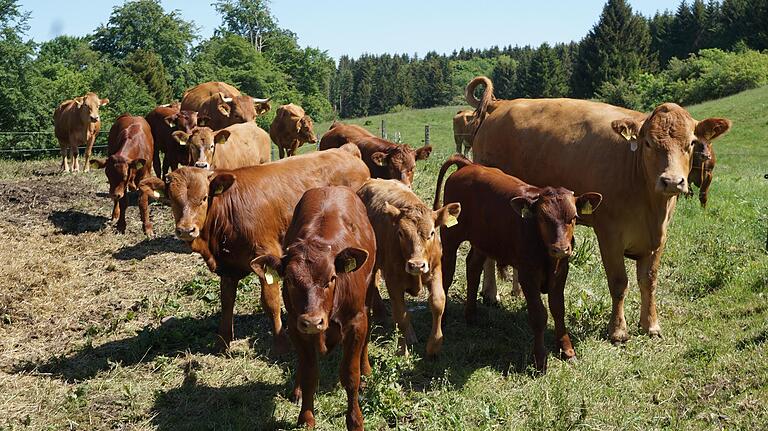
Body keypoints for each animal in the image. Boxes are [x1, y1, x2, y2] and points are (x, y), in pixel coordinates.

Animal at [140, 145, 370, 354]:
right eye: (172, 200)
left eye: (204, 198)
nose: (186, 230)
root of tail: (346, 151)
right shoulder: (228, 267)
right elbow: (227, 301)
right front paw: (223, 342)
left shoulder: (267, 256)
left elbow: (271, 303)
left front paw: (281, 345)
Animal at [252, 188, 376, 431]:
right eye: (290, 280)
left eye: (331, 279)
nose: (312, 321)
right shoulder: (295, 325)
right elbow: (310, 373)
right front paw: (306, 418)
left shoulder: (356, 322)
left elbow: (350, 375)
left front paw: (355, 420)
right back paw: (297, 389)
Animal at [356, 179, 460, 358]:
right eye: (400, 233)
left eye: (431, 233)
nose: (416, 265)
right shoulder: (393, 281)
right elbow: (401, 315)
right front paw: (401, 350)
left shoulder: (435, 270)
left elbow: (438, 302)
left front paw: (434, 346)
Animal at [436, 156, 604, 374]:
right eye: (543, 217)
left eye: (573, 218)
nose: (560, 248)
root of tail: (468, 165)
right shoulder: (527, 275)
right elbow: (539, 315)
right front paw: (540, 359)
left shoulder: (561, 272)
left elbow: (558, 309)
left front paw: (567, 350)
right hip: (450, 237)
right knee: (447, 273)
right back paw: (444, 317)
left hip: (482, 241)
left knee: (473, 267)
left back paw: (471, 315)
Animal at [464, 76, 728, 342]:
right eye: (648, 143)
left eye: (691, 143)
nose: (672, 181)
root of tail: (501, 104)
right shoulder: (609, 234)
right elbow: (619, 282)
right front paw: (618, 330)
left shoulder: (659, 238)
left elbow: (649, 280)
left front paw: (650, 324)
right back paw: (491, 293)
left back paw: (515, 291)